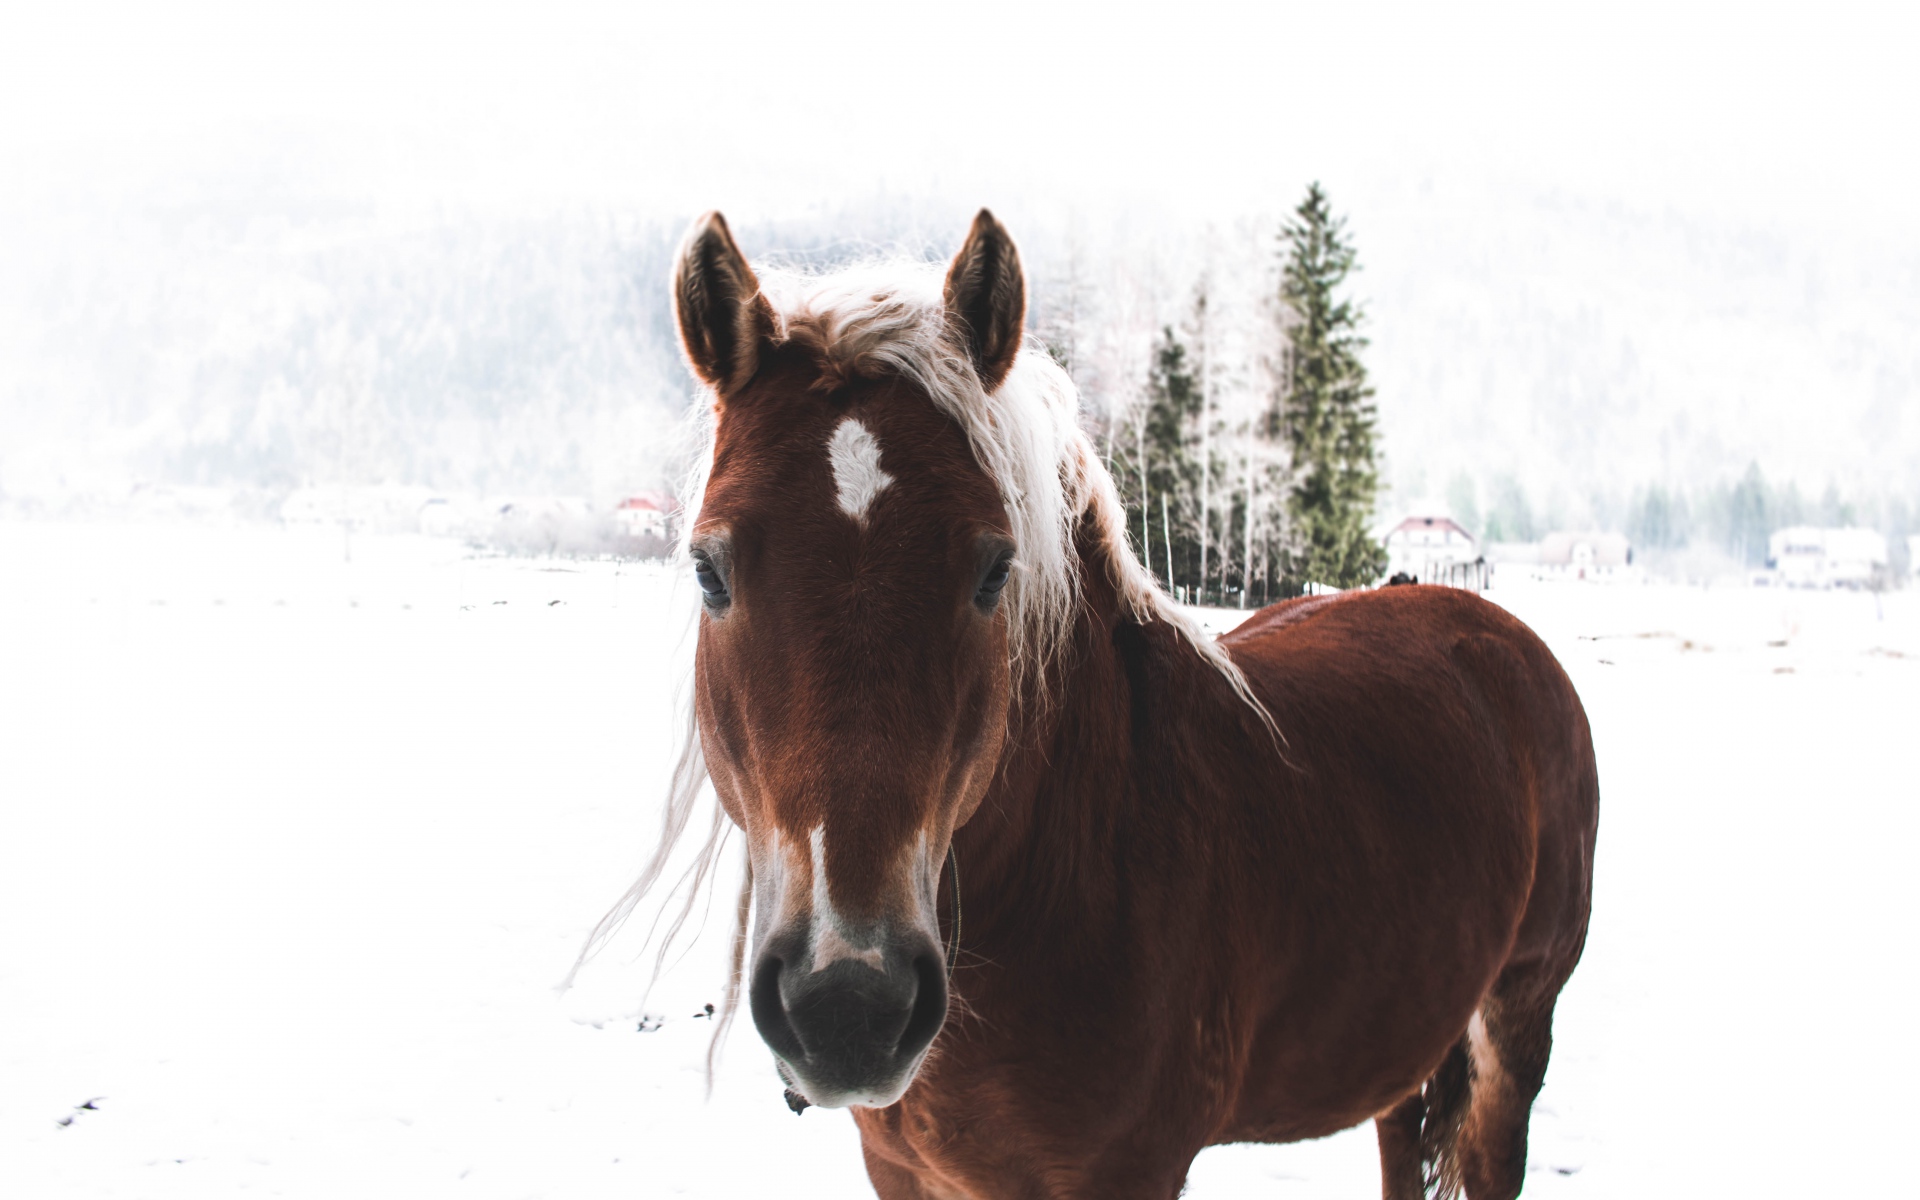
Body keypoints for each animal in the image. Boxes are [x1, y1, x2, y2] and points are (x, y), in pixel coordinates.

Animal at [585, 209, 1598, 1199]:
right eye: (708, 569)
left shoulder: (1130, 1171)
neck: (1084, 862)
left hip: (1517, 1024)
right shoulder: (901, 1171)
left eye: (996, 570)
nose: (849, 1008)